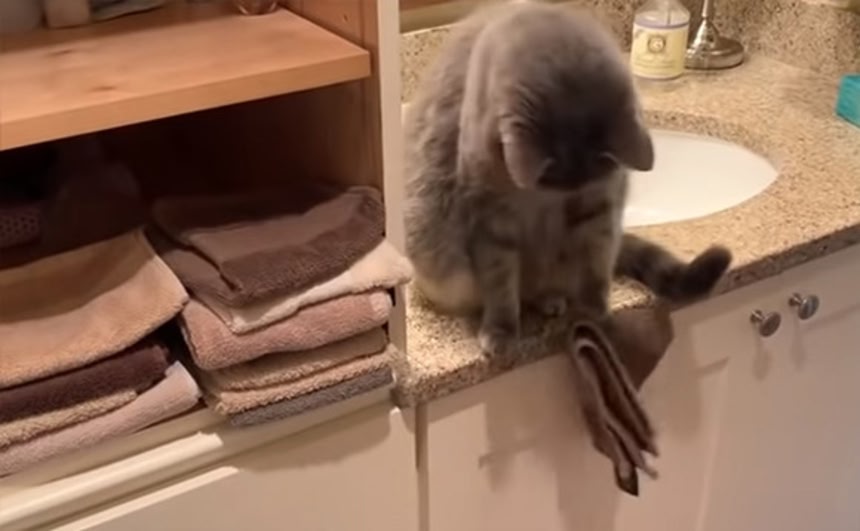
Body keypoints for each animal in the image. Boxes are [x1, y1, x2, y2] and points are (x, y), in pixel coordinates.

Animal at [403, 1, 731, 356]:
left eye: (576, 193)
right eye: (548, 184)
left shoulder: (599, 206)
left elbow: (595, 267)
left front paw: (595, 316)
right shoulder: (489, 217)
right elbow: (500, 281)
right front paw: (501, 330)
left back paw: (552, 299)